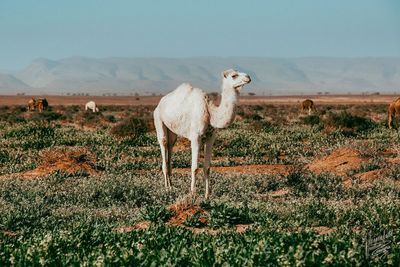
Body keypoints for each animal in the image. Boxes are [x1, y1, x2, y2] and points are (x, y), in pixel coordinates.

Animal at [153, 69, 250, 199]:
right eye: (234, 75)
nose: (248, 77)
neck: (210, 112)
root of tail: (160, 103)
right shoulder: (195, 137)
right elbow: (194, 167)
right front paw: (193, 194)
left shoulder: (211, 137)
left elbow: (207, 167)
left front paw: (207, 196)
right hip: (158, 119)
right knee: (163, 146)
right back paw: (166, 189)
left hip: (172, 131)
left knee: (170, 148)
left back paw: (172, 186)